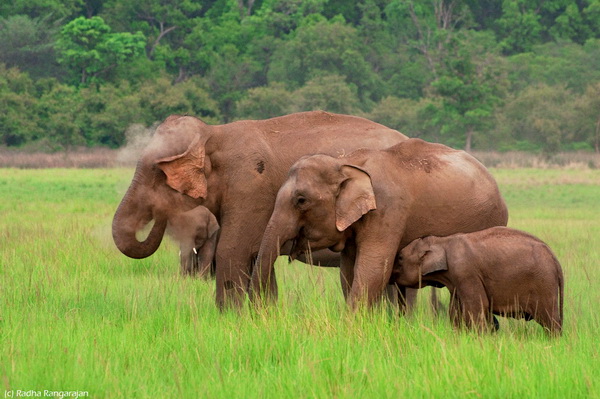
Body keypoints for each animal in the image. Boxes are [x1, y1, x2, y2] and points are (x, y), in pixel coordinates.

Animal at [111, 110, 408, 310]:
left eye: (157, 171)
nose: (159, 213)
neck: (214, 133)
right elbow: (255, 255)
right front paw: (264, 315)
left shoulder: (249, 186)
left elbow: (233, 250)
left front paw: (230, 319)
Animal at [392, 227, 564, 336]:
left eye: (400, 258)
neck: (443, 241)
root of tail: (555, 259)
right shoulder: (456, 280)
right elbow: (456, 310)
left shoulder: (465, 272)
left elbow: (477, 306)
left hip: (544, 283)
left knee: (549, 320)